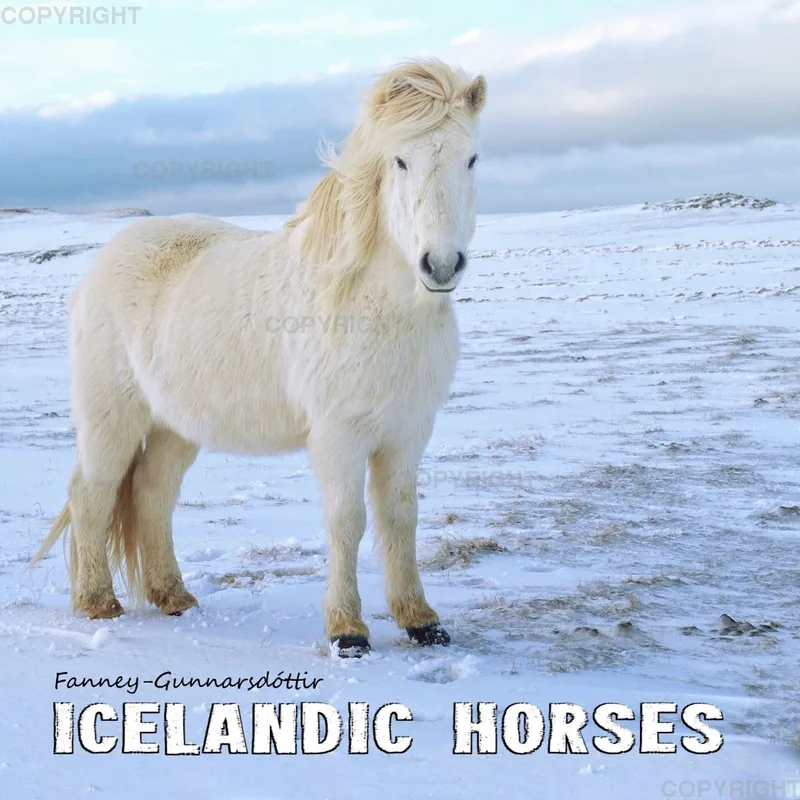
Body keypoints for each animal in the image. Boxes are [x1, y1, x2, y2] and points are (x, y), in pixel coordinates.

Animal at [29, 59, 488, 657]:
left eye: (471, 158)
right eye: (400, 160)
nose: (441, 264)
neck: (375, 306)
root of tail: (102, 264)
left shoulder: (407, 434)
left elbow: (400, 518)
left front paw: (421, 622)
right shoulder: (338, 438)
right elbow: (347, 522)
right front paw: (347, 631)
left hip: (176, 426)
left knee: (152, 494)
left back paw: (174, 597)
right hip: (112, 417)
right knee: (92, 494)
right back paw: (98, 603)